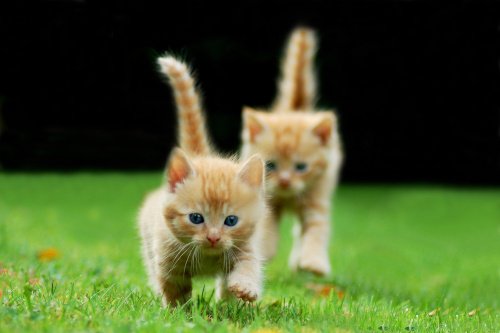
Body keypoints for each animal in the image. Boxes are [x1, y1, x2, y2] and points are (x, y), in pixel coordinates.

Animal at [139, 55, 268, 306]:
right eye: (196, 218)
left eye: (231, 220)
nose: (213, 237)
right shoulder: (167, 259)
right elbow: (174, 288)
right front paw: (178, 310)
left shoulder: (247, 247)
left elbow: (248, 267)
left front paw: (244, 289)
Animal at [239, 26, 342, 274]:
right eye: (271, 165)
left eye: (301, 167)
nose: (285, 181)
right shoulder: (266, 198)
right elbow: (267, 227)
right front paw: (265, 251)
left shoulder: (317, 199)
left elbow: (316, 230)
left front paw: (313, 262)